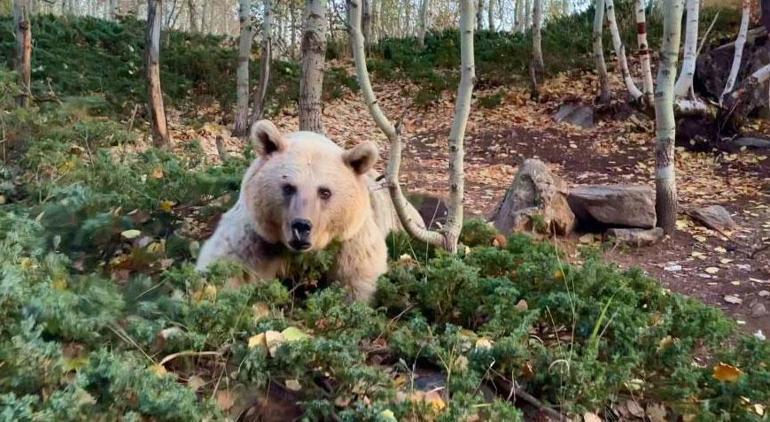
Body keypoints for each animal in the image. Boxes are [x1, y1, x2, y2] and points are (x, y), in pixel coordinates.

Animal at [195, 120, 388, 302]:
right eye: (288, 187)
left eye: (325, 192)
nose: (301, 227)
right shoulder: (256, 235)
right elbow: (226, 264)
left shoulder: (348, 240)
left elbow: (357, 278)